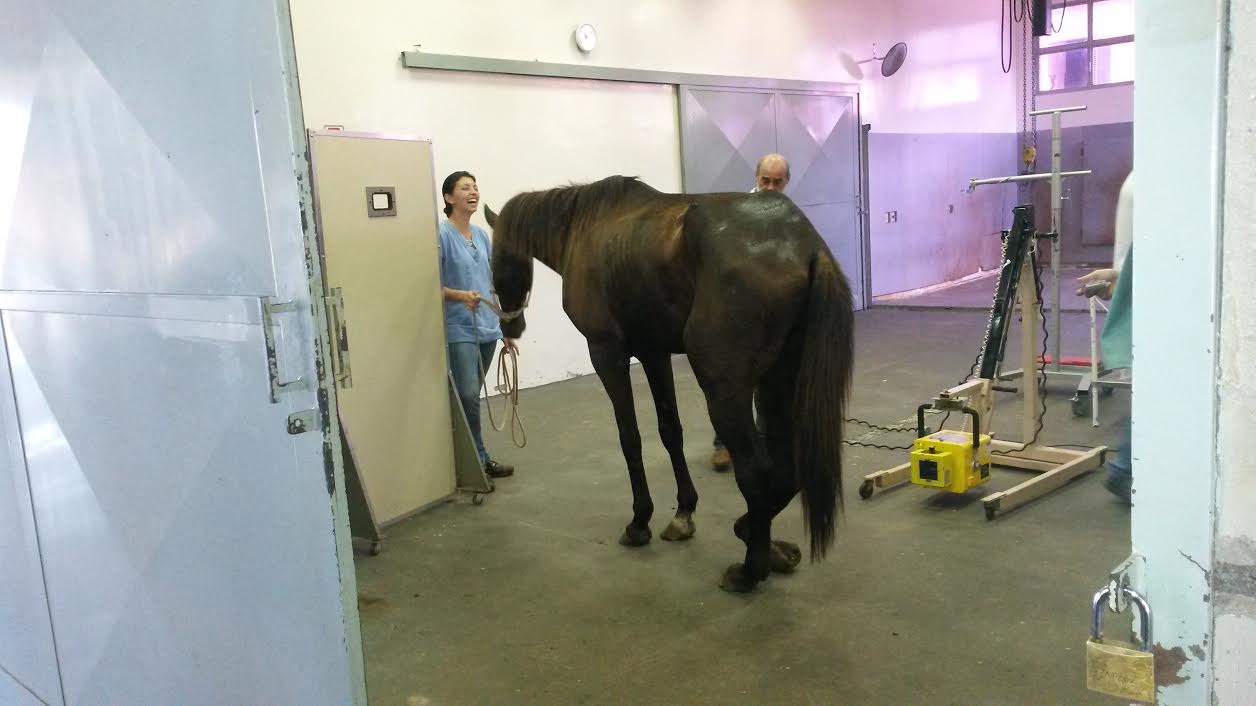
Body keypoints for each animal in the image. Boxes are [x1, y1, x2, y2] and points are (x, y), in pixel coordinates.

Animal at [484, 174, 859, 587]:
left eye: (495, 260)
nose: (510, 327)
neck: (584, 226)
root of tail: (805, 246)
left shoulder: (607, 354)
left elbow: (630, 438)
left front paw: (639, 522)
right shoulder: (654, 354)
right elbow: (669, 431)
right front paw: (683, 514)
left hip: (726, 392)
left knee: (757, 469)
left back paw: (749, 570)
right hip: (778, 384)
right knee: (787, 466)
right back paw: (760, 539)